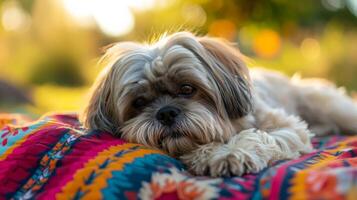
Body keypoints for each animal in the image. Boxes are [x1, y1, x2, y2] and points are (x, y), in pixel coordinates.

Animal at [80, 31, 356, 177]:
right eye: (139, 102)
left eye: (187, 89)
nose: (166, 113)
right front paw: (211, 153)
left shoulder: (287, 127)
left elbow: (259, 136)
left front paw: (231, 153)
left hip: (329, 106)